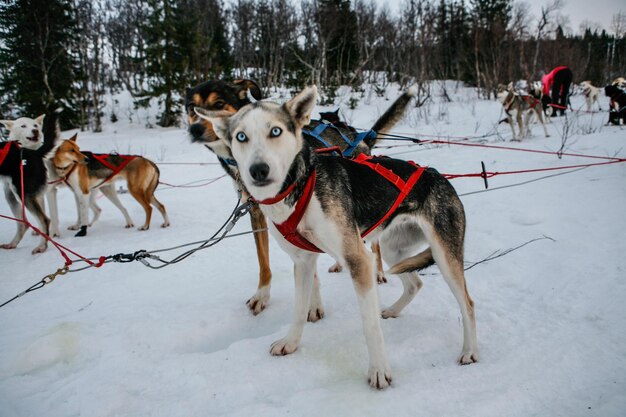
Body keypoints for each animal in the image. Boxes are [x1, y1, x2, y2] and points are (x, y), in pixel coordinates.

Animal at [0, 110, 59, 252]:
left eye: (35, 126)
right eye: (23, 126)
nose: (35, 131)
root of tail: (34, 153)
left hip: (22, 193)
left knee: (44, 220)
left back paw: (42, 246)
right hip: (11, 194)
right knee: (23, 223)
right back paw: (13, 243)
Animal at [195, 86, 478, 388]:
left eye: (275, 131)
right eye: (241, 136)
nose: (258, 169)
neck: (299, 187)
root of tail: (437, 175)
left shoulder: (358, 259)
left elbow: (369, 324)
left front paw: (379, 371)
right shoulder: (303, 261)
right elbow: (299, 309)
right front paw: (291, 343)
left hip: (444, 256)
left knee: (468, 304)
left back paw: (470, 351)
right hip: (394, 250)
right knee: (415, 284)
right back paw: (393, 310)